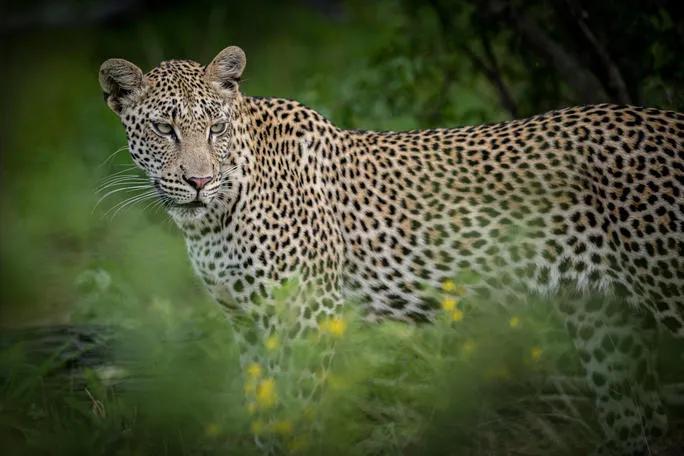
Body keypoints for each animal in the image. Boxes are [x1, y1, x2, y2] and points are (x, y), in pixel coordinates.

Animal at [99, 45, 683, 455]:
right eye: (164, 127)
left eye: (216, 127)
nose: (198, 181)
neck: (213, 219)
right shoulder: (247, 323)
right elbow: (265, 416)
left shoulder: (308, 314)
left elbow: (297, 414)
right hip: (603, 320)